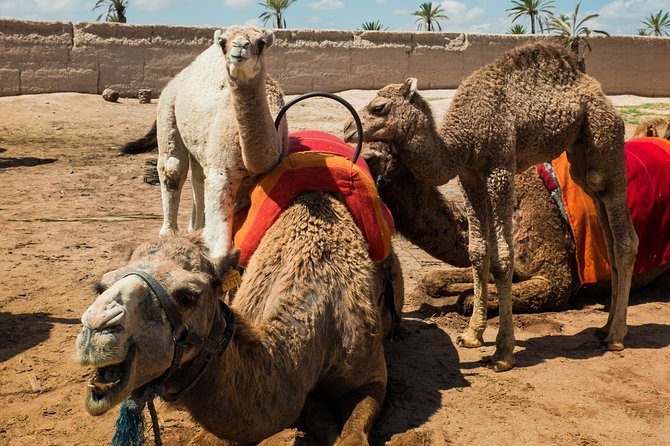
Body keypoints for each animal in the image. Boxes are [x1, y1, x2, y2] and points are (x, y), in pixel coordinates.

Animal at [123, 25, 288, 269]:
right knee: (173, 170)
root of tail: (180, 77)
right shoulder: (223, 171)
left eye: (261, 42)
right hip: (167, 109)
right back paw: (169, 233)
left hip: (201, 143)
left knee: (198, 178)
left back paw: (195, 228)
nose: (239, 47)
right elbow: (219, 239)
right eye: (223, 42)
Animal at [344, 42, 638, 371]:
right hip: (581, 156)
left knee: (625, 238)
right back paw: (605, 328)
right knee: (603, 218)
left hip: (605, 137)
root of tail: (597, 91)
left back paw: (616, 336)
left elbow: (502, 258)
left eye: (379, 107)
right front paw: (472, 335)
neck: (462, 141)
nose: (348, 128)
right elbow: (478, 252)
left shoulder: (500, 169)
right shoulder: (470, 177)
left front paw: (503, 352)